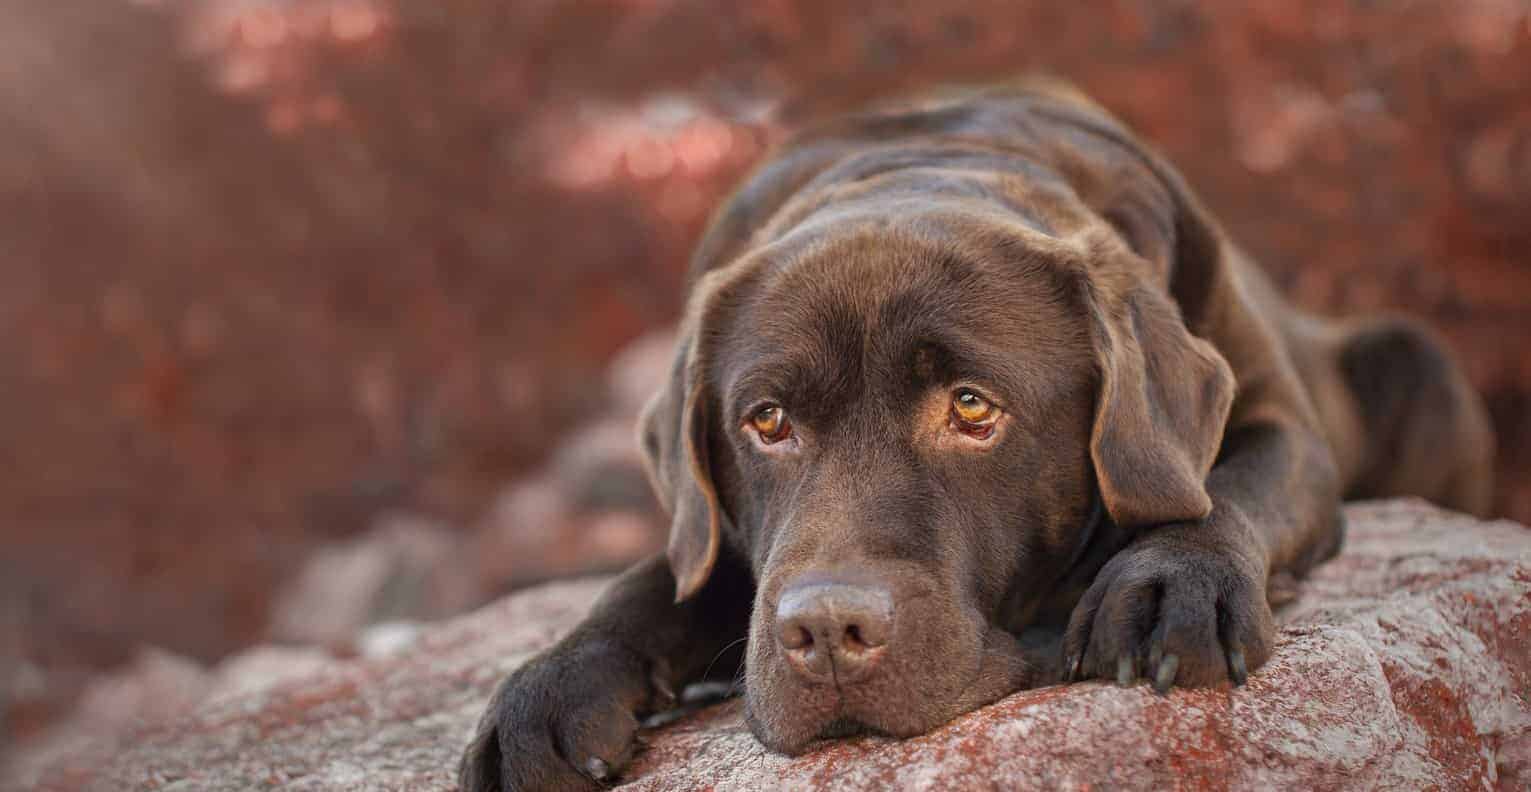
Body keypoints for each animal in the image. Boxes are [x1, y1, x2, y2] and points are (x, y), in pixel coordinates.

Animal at [456, 81, 1494, 790]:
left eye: (970, 407)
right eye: (767, 421)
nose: (826, 633)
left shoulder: (1283, 427)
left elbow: (1226, 495)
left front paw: (1170, 587)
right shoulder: (715, 542)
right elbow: (652, 582)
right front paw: (542, 695)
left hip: (1419, 362)